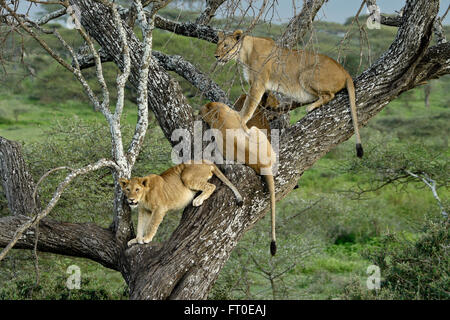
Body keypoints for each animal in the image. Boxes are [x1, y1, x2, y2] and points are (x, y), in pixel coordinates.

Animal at [216, 29, 364, 157]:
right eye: (218, 44)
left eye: (226, 45)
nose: (216, 56)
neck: (245, 53)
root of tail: (345, 71)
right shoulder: (262, 87)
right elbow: (256, 103)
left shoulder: (258, 84)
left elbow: (249, 105)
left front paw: (241, 119)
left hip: (305, 74)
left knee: (329, 95)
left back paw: (310, 107)